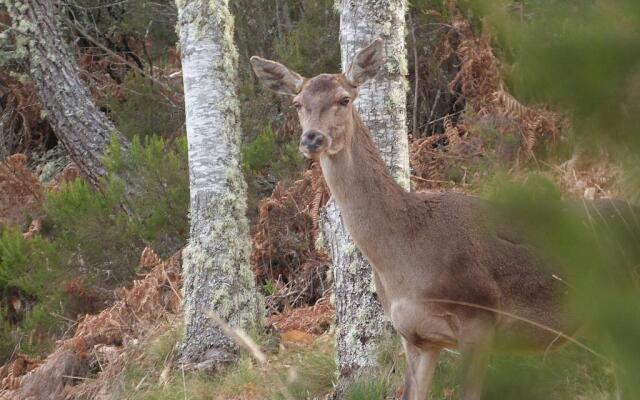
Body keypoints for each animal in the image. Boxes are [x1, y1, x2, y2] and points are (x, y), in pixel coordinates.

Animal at [251, 39, 624, 400]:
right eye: (298, 103)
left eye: (344, 99)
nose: (312, 138)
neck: (407, 258)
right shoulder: (416, 337)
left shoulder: (479, 316)